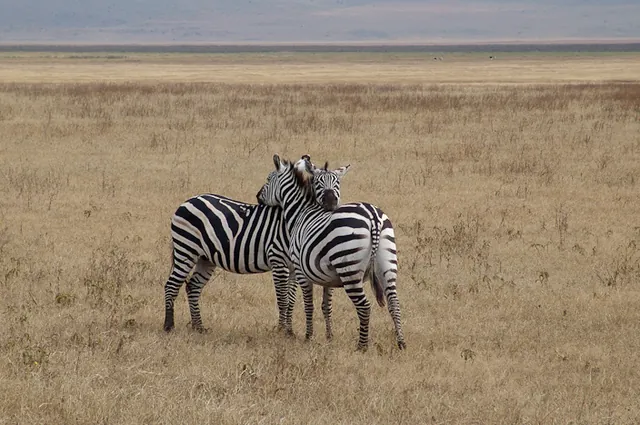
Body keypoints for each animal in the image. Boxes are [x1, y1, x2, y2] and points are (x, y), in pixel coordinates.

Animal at [163, 155, 343, 335]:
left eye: (338, 183)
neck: (292, 221)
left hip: (205, 258)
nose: (331, 202)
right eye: (317, 182)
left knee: (193, 287)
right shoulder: (278, 261)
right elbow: (283, 299)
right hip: (186, 249)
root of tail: (188, 201)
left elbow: (291, 300)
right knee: (171, 285)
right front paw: (281, 330)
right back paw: (169, 326)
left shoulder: (294, 267)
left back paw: (198, 327)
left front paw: (289, 331)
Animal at [257, 154, 406, 351]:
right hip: (387, 263)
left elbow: (308, 305)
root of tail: (373, 217)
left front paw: (308, 336)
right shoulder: (327, 277)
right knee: (394, 302)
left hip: (349, 268)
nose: (257, 197)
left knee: (364, 306)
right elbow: (325, 306)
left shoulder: (300, 271)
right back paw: (401, 343)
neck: (301, 212)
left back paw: (362, 346)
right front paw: (329, 336)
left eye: (268, 179)